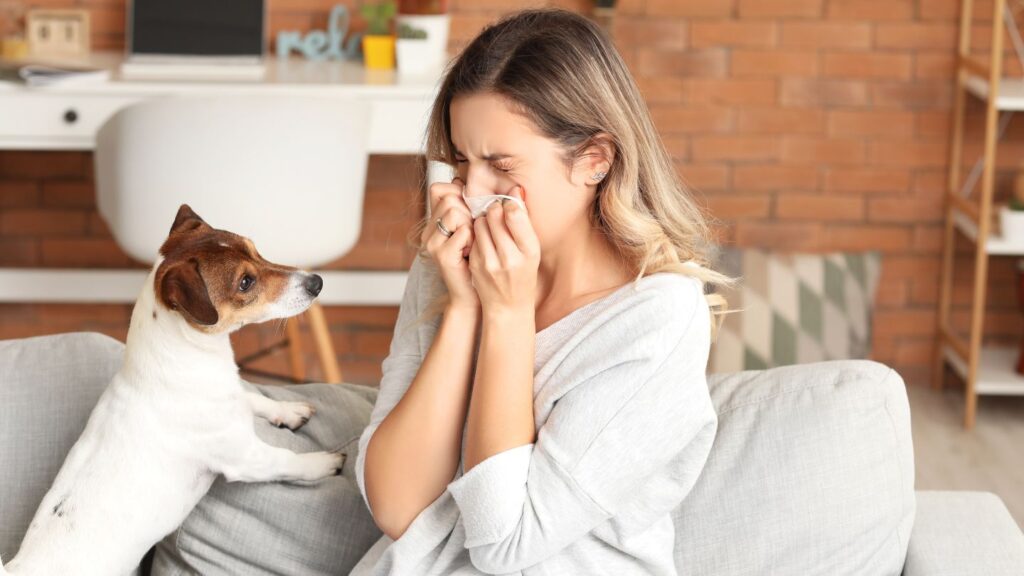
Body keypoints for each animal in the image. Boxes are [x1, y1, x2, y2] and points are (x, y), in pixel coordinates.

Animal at [1, 203, 348, 569]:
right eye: (245, 282)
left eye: (257, 250)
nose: (317, 282)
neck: (192, 362)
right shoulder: (246, 458)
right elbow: (287, 460)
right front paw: (324, 462)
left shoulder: (234, 397)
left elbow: (254, 397)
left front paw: (289, 410)